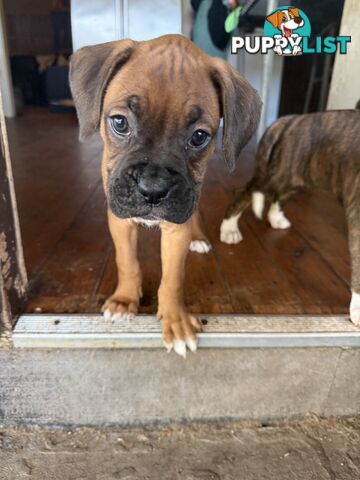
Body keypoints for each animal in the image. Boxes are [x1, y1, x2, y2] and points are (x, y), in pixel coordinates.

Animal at [69, 34, 262, 356]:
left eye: (199, 137)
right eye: (120, 122)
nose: (153, 189)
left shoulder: (177, 224)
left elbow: (172, 278)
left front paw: (176, 321)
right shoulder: (120, 219)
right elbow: (127, 261)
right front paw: (125, 300)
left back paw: (198, 238)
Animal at [219, 110, 360, 324]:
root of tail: (292, 118)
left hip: (297, 176)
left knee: (279, 196)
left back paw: (276, 219)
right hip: (277, 173)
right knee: (243, 192)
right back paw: (229, 229)